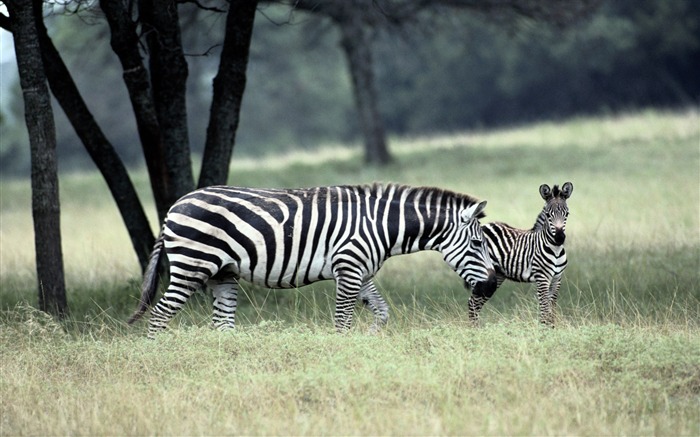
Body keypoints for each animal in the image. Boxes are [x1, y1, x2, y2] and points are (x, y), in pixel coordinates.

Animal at [127, 182, 498, 336]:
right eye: (478, 243)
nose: (493, 286)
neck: (381, 225)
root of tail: (173, 207)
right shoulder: (348, 268)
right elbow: (342, 320)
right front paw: (343, 352)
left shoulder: (361, 272)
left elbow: (382, 312)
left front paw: (370, 339)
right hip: (192, 265)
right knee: (159, 315)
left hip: (223, 274)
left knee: (222, 323)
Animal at [470, 179, 576, 326]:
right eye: (548, 215)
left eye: (567, 214)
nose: (559, 238)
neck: (555, 249)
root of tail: (483, 226)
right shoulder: (542, 278)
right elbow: (545, 308)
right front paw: (544, 329)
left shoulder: (557, 278)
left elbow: (552, 308)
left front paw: (552, 327)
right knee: (472, 302)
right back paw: (473, 329)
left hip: (497, 275)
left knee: (476, 303)